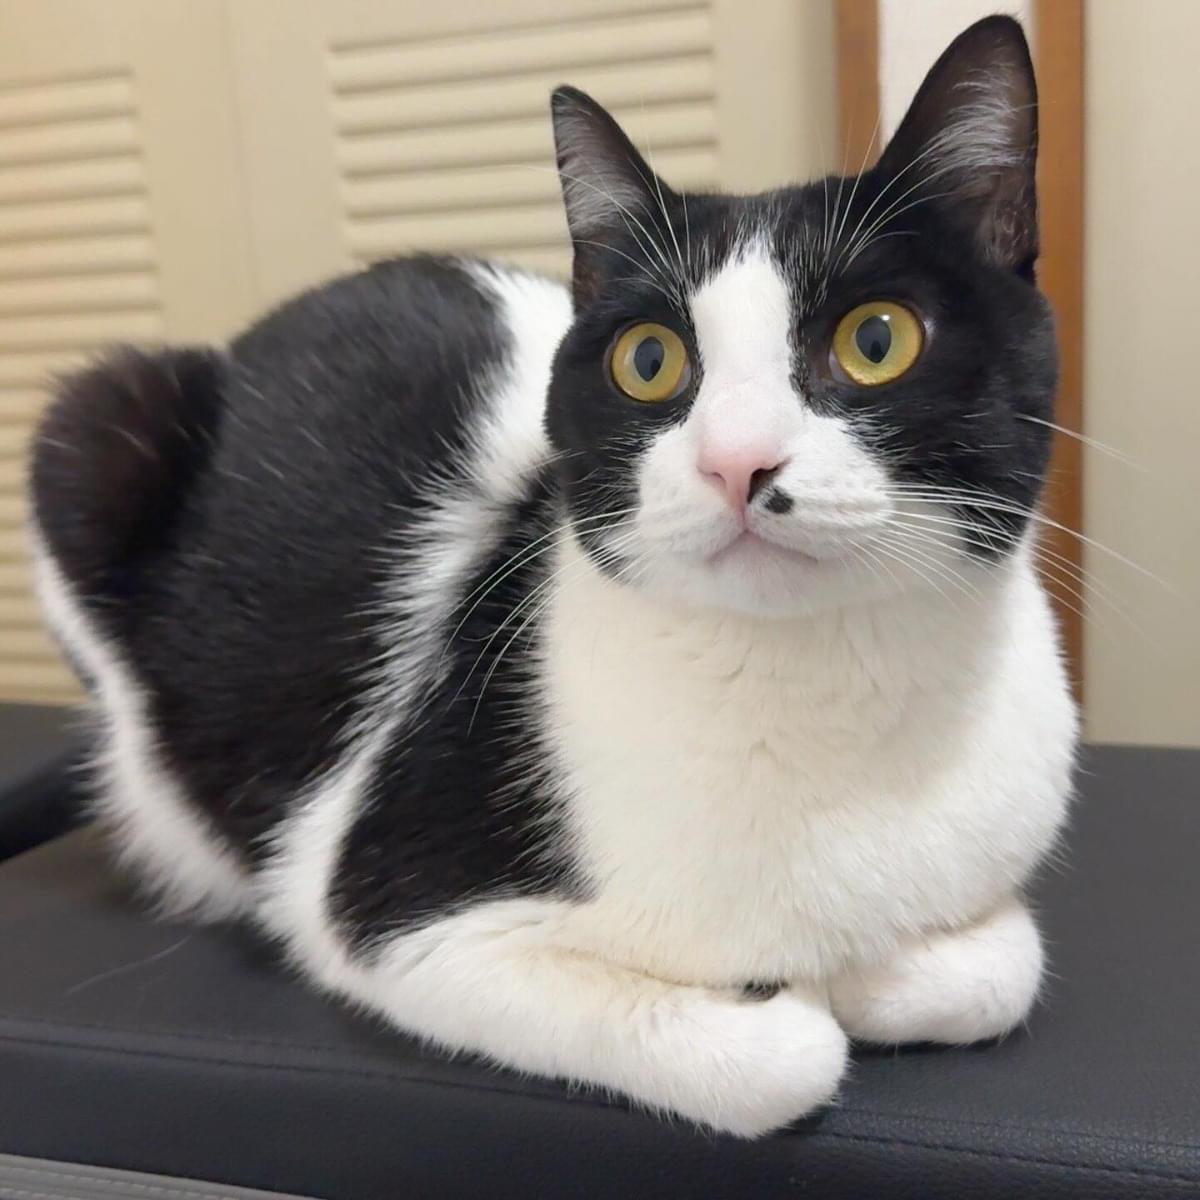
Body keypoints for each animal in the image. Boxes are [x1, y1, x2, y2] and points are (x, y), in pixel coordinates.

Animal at [29, 16, 1076, 1137]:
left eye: (876, 339)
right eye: (649, 361)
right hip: (92, 428)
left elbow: (1002, 965)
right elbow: (777, 1059)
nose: (737, 462)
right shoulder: (395, 916)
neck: (822, 689)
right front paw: (799, 994)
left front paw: (870, 969)